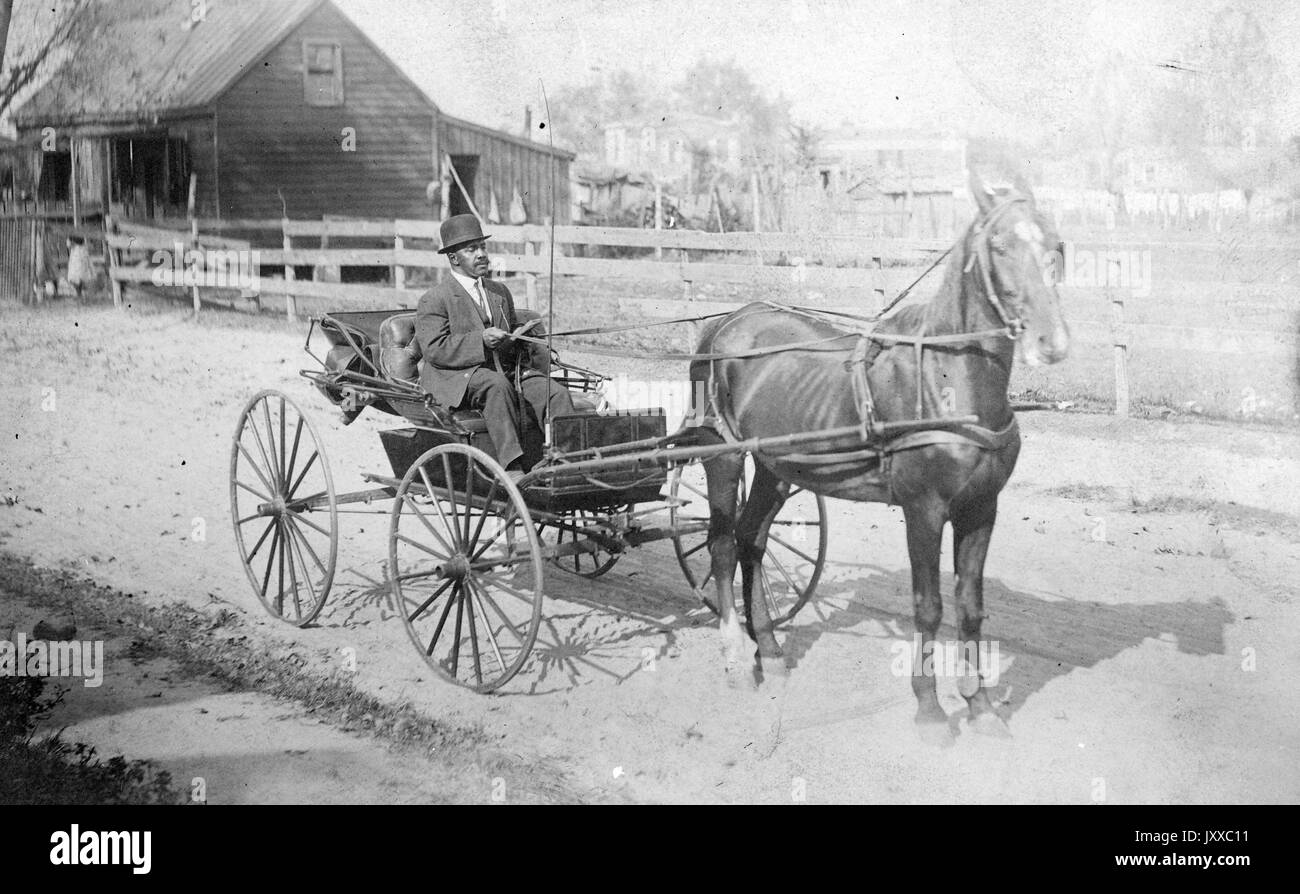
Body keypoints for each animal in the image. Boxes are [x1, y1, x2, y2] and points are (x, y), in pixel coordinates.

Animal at [686, 174, 1071, 738]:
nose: (1052, 341)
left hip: (777, 468)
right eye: (999, 246)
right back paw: (737, 657)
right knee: (720, 546)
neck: (947, 380)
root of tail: (730, 320)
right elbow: (929, 607)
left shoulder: (981, 509)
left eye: (1057, 244)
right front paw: (931, 710)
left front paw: (979, 707)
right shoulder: (924, 509)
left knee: (751, 540)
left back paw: (771, 651)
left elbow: (971, 607)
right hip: (723, 457)